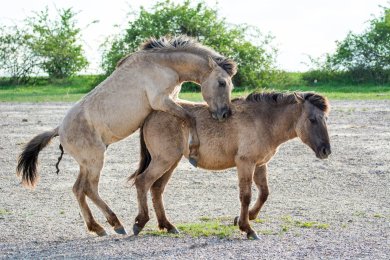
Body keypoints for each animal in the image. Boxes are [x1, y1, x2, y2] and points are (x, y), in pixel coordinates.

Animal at [16, 34, 236, 236]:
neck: (162, 64)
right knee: (90, 189)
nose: (225, 114)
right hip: (95, 161)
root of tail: (59, 130)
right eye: (222, 83)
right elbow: (189, 116)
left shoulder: (171, 100)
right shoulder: (162, 101)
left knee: (78, 189)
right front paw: (194, 150)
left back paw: (97, 227)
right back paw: (117, 224)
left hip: (86, 164)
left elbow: (188, 115)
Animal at [129, 91, 330, 240]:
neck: (263, 121)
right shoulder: (245, 163)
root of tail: (151, 114)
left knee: (156, 189)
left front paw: (247, 217)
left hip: (171, 162)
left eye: (326, 119)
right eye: (312, 119)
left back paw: (168, 225)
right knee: (142, 182)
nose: (326, 151)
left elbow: (264, 193)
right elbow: (246, 196)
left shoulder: (260, 165)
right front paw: (247, 228)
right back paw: (140, 223)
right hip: (164, 160)